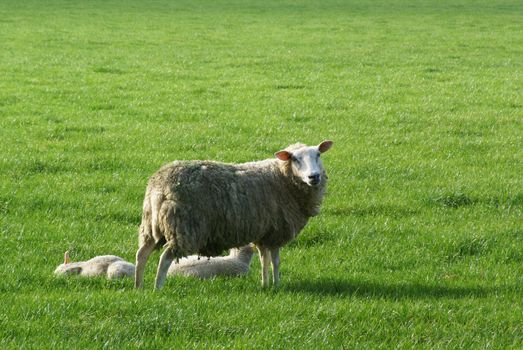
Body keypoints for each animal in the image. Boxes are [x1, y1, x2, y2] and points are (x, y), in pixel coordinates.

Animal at [133, 139, 334, 290]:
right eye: (295, 159)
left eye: (318, 155)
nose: (314, 177)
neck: (282, 178)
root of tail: (158, 187)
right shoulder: (276, 232)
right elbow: (275, 261)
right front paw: (277, 285)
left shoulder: (263, 233)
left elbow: (264, 259)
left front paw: (265, 284)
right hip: (185, 228)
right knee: (164, 258)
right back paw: (157, 288)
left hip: (151, 226)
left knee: (141, 254)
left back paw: (139, 287)